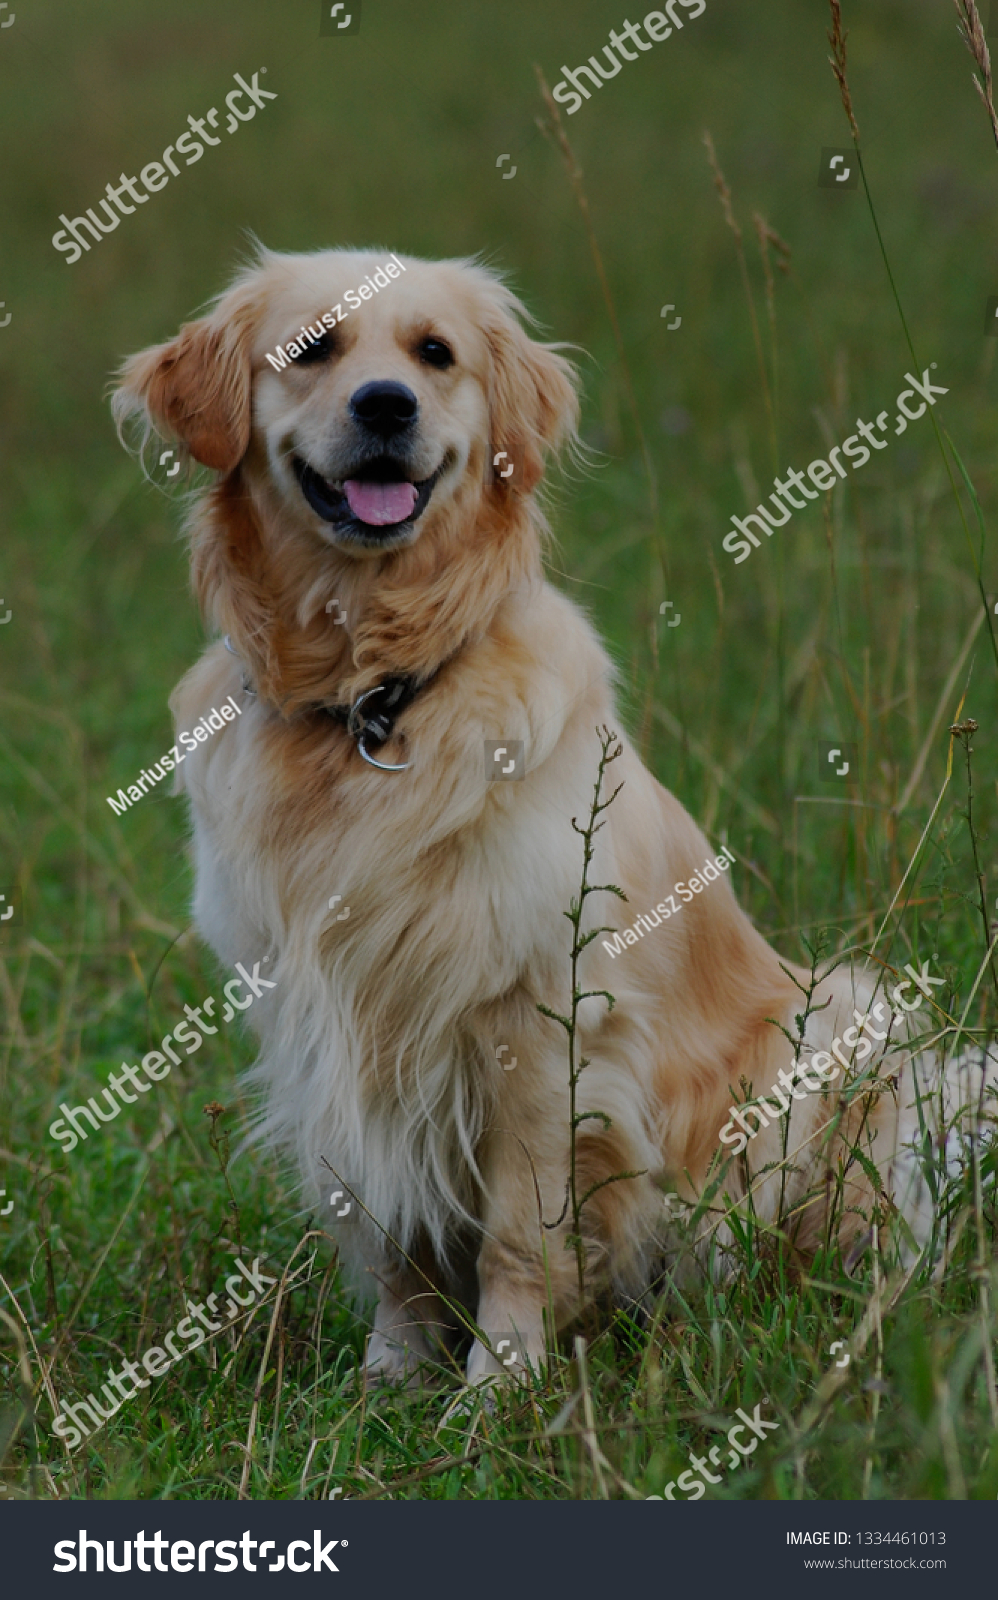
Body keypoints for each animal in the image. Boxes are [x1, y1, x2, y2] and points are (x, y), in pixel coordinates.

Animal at [112, 246, 985, 1388]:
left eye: (434, 354)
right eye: (313, 349)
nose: (385, 404)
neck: (374, 697)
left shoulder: (538, 1018)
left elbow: (521, 1233)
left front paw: (501, 1383)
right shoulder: (331, 1022)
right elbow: (388, 1226)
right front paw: (389, 1378)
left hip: (838, 1021)